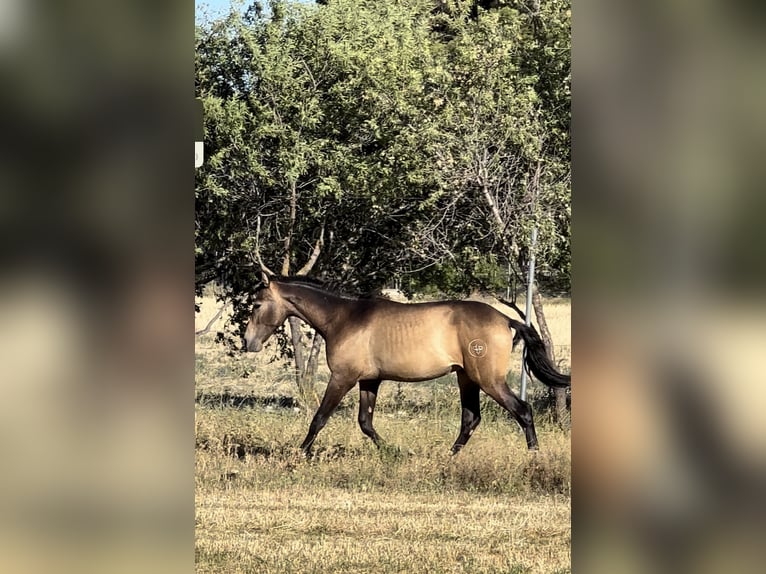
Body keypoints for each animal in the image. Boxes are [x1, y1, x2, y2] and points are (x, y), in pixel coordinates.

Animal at [243, 276, 572, 456]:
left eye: (257, 305)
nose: (248, 342)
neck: (343, 318)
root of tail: (507, 319)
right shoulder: (369, 380)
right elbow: (365, 422)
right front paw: (394, 452)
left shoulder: (343, 377)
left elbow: (319, 418)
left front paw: (298, 455)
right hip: (466, 378)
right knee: (471, 419)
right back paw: (447, 457)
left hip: (488, 379)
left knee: (521, 411)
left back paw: (534, 457)